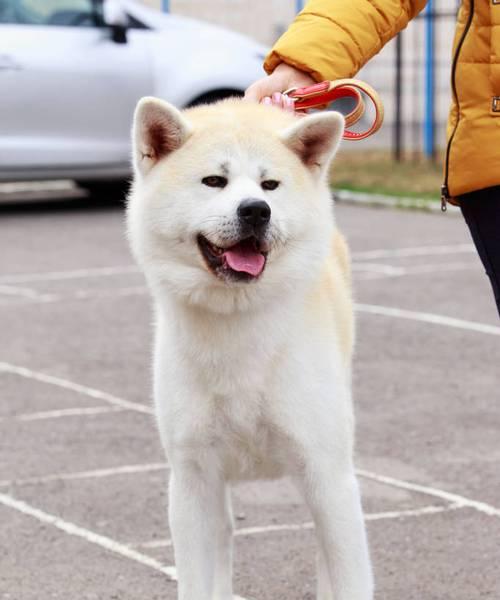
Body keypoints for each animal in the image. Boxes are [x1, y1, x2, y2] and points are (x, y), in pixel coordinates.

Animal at [127, 98, 374, 600]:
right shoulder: (193, 480)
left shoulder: (328, 475)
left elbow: (348, 576)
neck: (237, 331)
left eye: (269, 185)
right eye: (214, 181)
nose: (257, 211)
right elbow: (197, 581)